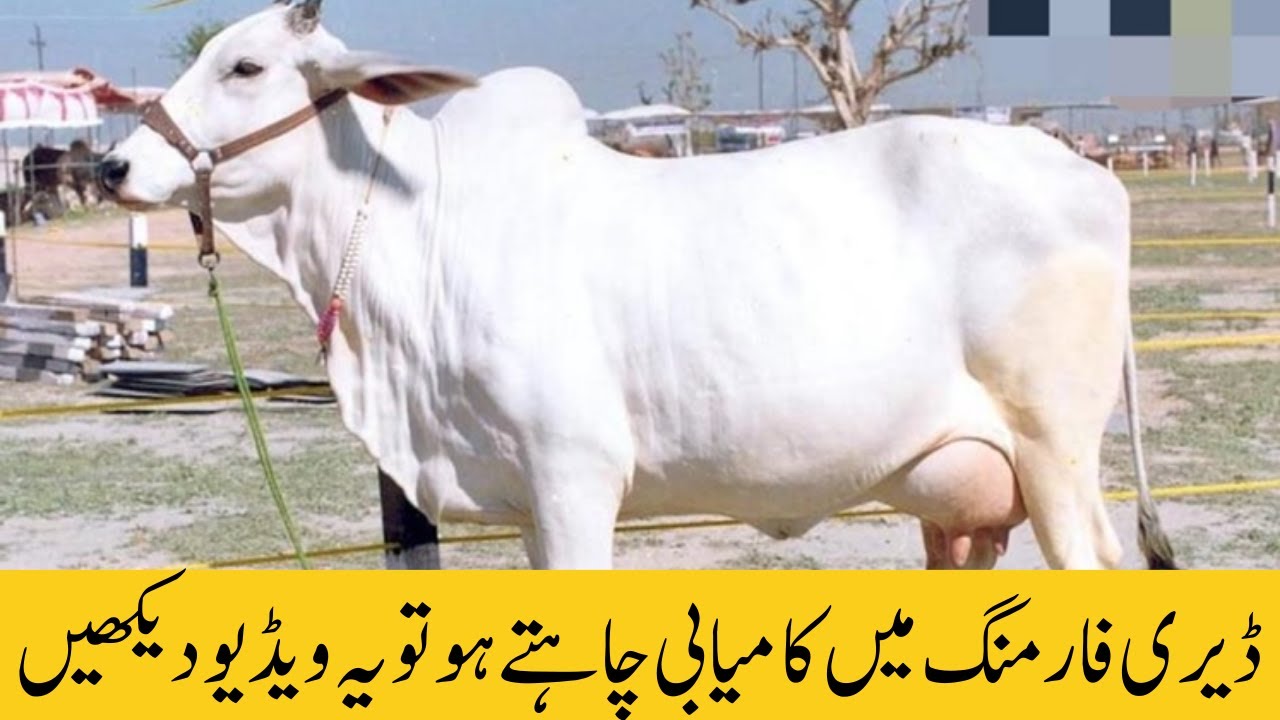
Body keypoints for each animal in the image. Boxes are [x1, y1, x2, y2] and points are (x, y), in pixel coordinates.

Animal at [98, 0, 1176, 570]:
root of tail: (1090, 172)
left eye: (246, 65)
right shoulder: (530, 506)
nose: (112, 166)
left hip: (1053, 455)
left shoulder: (575, 477)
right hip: (968, 502)